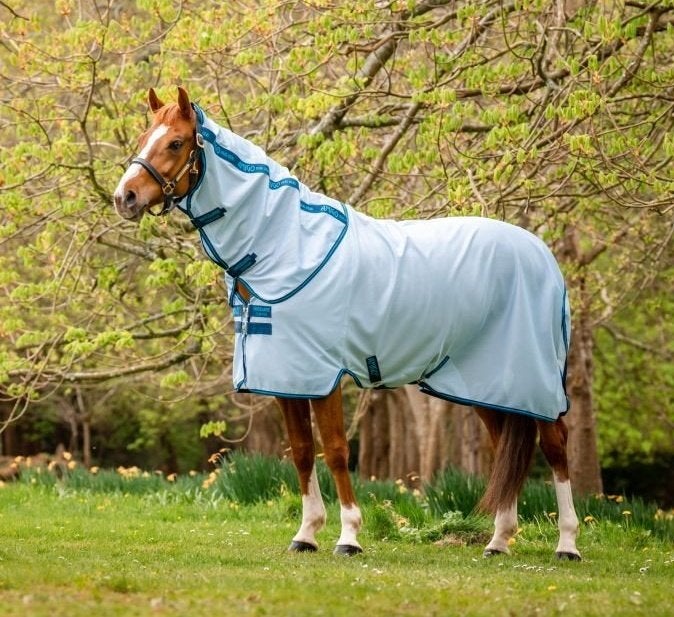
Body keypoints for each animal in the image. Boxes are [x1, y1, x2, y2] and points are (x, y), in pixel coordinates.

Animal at [113, 86, 581, 560]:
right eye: (143, 137)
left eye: (175, 143)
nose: (125, 197)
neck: (286, 245)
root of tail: (541, 254)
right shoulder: (286, 377)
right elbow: (303, 451)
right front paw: (306, 534)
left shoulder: (324, 375)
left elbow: (336, 451)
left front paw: (349, 537)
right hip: (487, 383)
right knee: (506, 446)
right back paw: (499, 541)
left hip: (533, 378)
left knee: (555, 444)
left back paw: (566, 543)